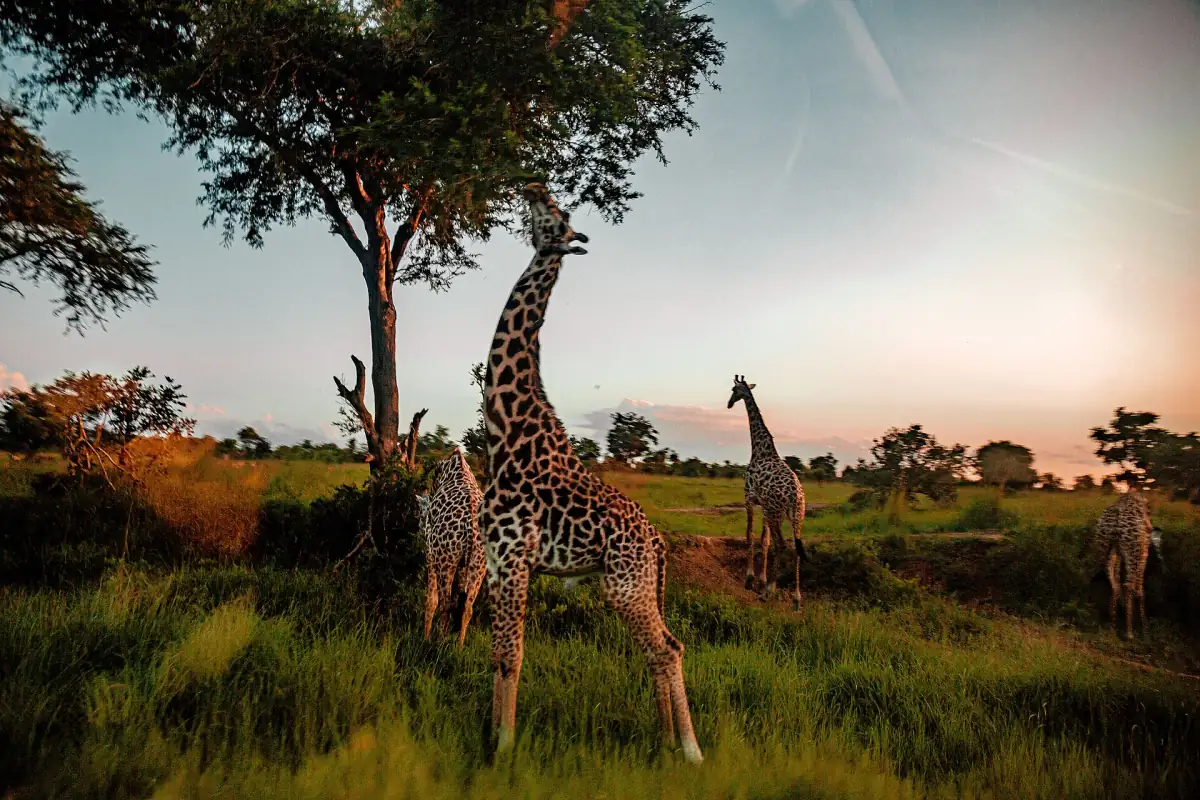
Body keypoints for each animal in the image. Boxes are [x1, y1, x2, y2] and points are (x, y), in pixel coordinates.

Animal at [418, 448, 486, 648]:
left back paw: (438, 644)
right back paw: (459, 647)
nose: (420, 525)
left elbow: (431, 601)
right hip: (479, 564)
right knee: (467, 607)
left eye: (421, 515)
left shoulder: (431, 556)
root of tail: (470, 522)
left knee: (444, 604)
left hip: (446, 560)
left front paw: (425, 638)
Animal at [481, 183, 702, 763]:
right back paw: (664, 742)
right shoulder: (495, 559)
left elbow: (511, 655)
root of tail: (658, 541)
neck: (504, 433)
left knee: (667, 649)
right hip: (628, 583)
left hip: (626, 584)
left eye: (558, 217)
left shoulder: (515, 558)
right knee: (662, 648)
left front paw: (503, 750)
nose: (533, 184)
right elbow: (498, 654)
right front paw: (489, 735)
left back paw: (690, 751)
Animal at [727, 376, 809, 608]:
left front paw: (750, 579)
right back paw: (797, 597)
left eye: (734, 390)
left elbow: (750, 535)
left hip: (776, 513)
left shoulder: (749, 498)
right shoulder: (763, 505)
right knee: (796, 547)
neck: (761, 450)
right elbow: (765, 541)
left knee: (782, 545)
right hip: (796, 516)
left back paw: (770, 591)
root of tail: (794, 496)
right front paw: (761, 580)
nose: (729, 403)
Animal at [1093, 490, 1158, 640]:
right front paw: (1145, 629)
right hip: (1134, 551)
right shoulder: (1143, 553)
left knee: (1113, 584)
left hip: (1105, 549)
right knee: (1128, 585)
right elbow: (1139, 589)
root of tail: (1115, 519)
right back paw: (1129, 633)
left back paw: (1112, 627)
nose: (1150, 528)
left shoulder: (1118, 552)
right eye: (1149, 511)